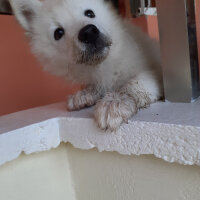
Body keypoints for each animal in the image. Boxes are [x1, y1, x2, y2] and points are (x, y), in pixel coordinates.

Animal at [9, 0, 163, 131]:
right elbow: (96, 86)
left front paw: (113, 102)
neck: (103, 65)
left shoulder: (153, 73)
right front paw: (84, 94)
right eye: (58, 33)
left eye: (90, 13)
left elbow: (131, 85)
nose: (88, 32)